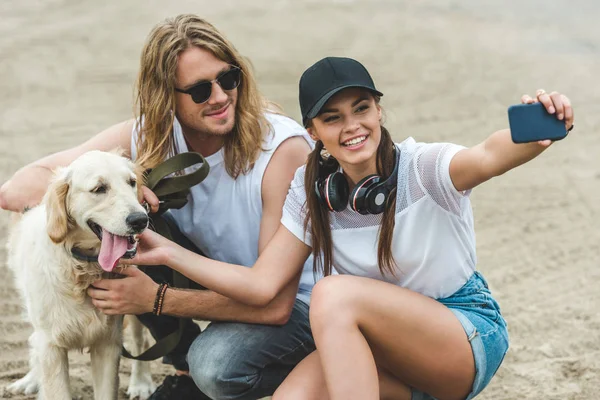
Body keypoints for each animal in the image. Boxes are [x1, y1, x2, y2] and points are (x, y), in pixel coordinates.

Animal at [6, 151, 155, 400]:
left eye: (131, 182)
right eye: (99, 188)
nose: (140, 220)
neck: (83, 267)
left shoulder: (108, 343)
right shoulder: (52, 346)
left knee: (139, 340)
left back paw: (141, 383)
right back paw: (31, 380)